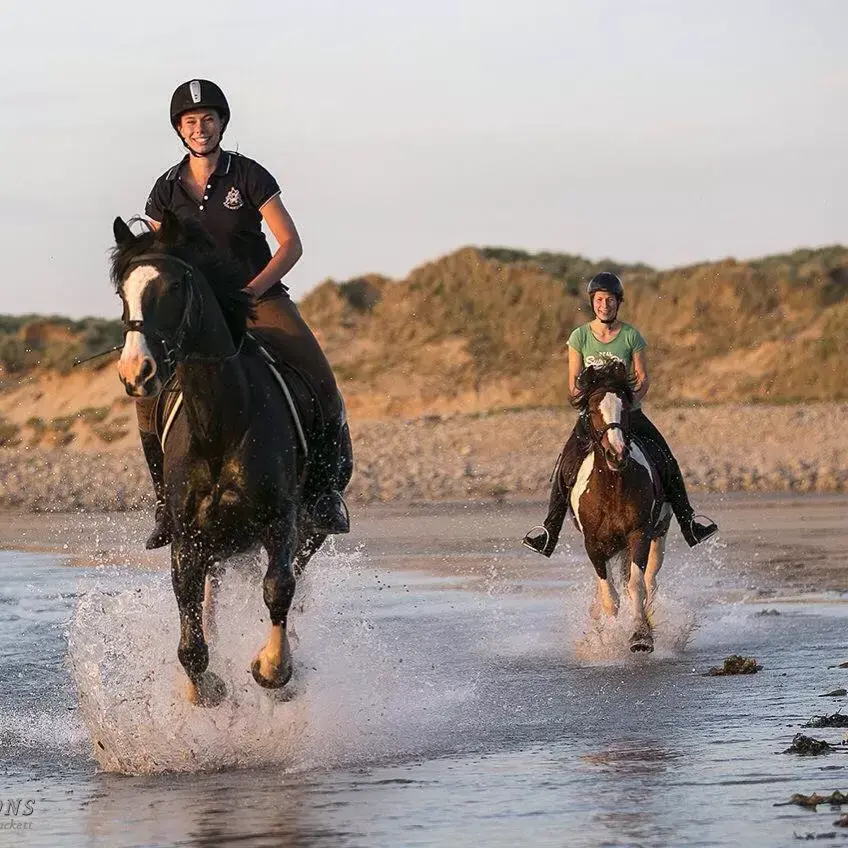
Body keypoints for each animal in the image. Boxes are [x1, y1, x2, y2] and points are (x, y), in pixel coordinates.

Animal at [111, 212, 350, 704]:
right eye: (122, 291)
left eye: (173, 287)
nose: (135, 372)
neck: (220, 421)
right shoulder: (187, 538)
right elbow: (190, 625)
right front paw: (203, 687)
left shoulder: (281, 520)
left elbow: (279, 588)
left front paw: (272, 669)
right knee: (212, 596)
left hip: (313, 526)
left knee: (295, 580)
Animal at [568, 362, 668, 652]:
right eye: (592, 410)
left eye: (624, 408)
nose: (617, 454)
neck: (612, 488)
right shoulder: (593, 544)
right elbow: (609, 597)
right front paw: (608, 639)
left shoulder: (639, 534)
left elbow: (635, 586)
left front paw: (640, 636)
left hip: (659, 533)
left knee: (650, 581)